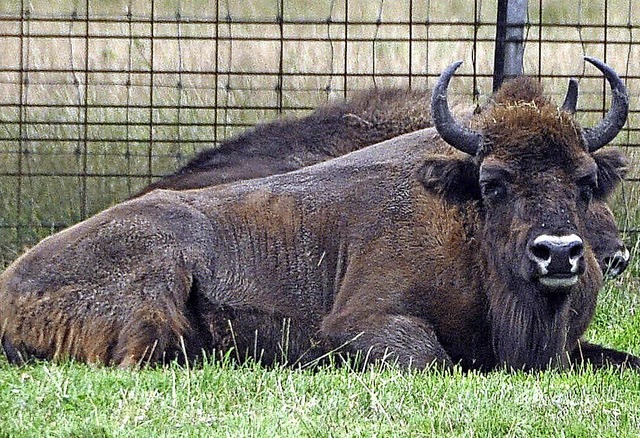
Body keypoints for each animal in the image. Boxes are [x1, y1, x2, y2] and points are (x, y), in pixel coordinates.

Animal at [0, 57, 636, 370]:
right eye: (493, 182)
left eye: (586, 182)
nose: (561, 253)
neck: (467, 228)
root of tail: (13, 281)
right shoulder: (361, 324)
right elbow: (430, 358)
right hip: (156, 284)